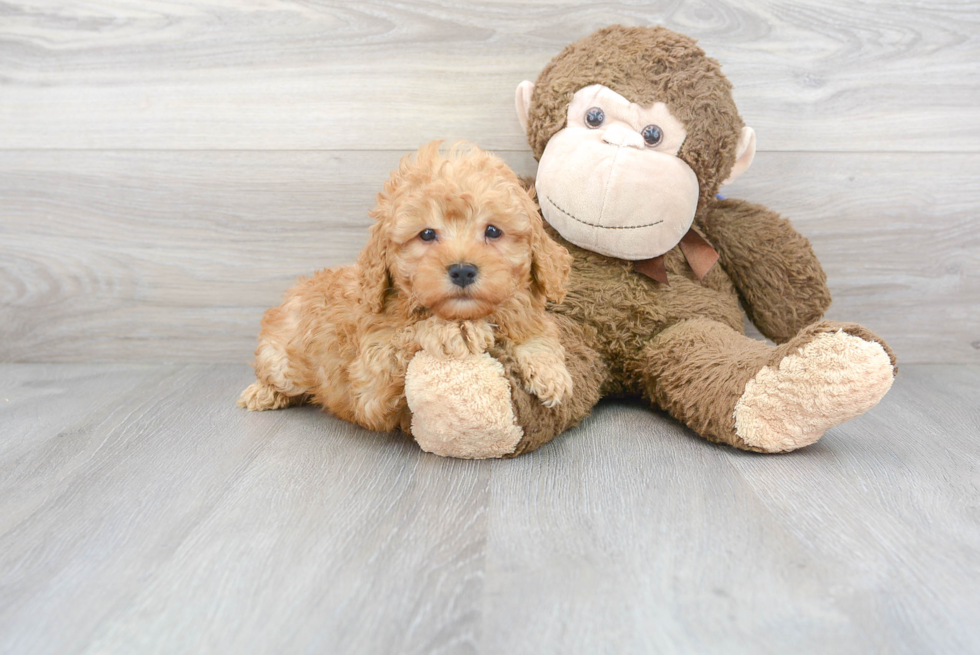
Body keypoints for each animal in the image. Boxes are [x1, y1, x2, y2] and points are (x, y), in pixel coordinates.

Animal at [238, 139, 576, 436]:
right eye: (426, 234)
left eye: (493, 231)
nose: (462, 270)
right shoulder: (370, 385)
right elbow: (404, 337)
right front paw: (454, 329)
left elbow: (537, 332)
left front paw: (550, 371)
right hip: (282, 359)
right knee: (275, 374)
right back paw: (261, 393)